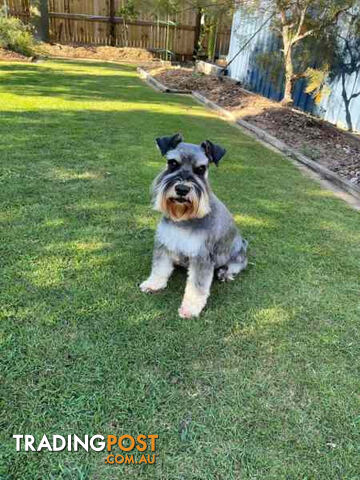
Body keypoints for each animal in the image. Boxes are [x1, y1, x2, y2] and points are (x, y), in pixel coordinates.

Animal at [139, 133, 248, 316]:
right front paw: (153, 284)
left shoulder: (202, 256)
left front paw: (190, 308)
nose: (182, 189)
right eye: (172, 163)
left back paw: (225, 273)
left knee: (236, 265)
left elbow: (197, 286)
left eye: (201, 169)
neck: (184, 217)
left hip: (237, 253)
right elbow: (160, 268)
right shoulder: (165, 243)